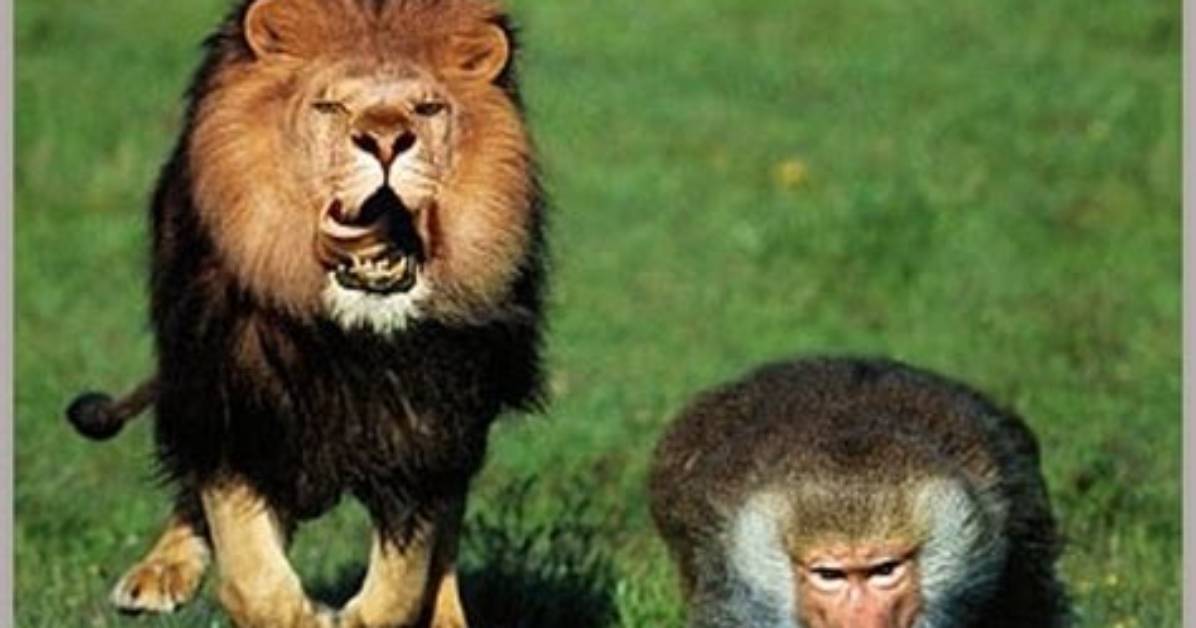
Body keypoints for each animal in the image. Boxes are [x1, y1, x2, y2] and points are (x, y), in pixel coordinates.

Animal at [63, 1, 545, 626]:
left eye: (428, 108)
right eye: (330, 106)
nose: (386, 141)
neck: (348, 336)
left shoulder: (430, 424)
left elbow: (403, 582)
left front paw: (358, 614)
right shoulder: (235, 400)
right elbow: (255, 580)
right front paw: (305, 612)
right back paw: (159, 572)